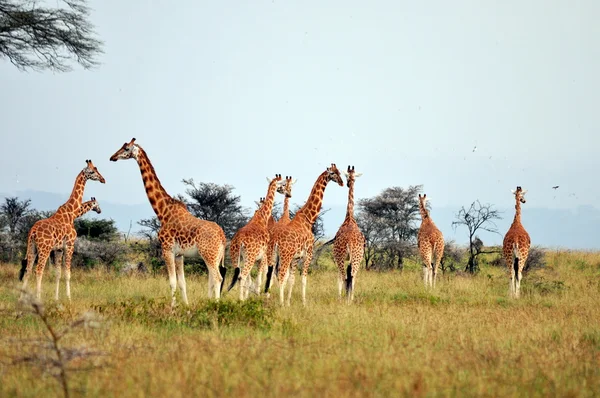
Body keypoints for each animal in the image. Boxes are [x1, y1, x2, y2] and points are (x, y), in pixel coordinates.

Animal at [19, 161, 106, 302]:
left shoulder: (58, 249)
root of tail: (33, 232)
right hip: (44, 249)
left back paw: (21, 299)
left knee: (28, 270)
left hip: (32, 247)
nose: (103, 179)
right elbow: (67, 273)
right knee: (39, 270)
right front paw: (69, 298)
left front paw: (56, 298)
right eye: (92, 171)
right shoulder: (70, 245)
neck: (72, 213)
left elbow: (58, 273)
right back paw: (38, 298)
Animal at [110, 138, 227, 308]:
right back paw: (209, 302)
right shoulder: (179, 254)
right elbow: (182, 283)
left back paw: (216, 306)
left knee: (217, 278)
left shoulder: (167, 249)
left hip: (208, 253)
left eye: (126, 148)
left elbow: (172, 282)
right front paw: (186, 306)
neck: (162, 212)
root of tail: (222, 236)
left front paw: (173, 308)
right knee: (212, 279)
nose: (112, 157)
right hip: (216, 256)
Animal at [266, 163, 344, 306]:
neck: (309, 218)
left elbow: (292, 279)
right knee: (280, 276)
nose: (342, 182)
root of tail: (275, 240)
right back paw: (280, 303)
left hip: (272, 255)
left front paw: (289, 302)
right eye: (333, 173)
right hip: (285, 256)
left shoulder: (296, 257)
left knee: (270, 275)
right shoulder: (309, 253)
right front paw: (303, 303)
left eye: (339, 172)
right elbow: (303, 278)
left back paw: (267, 299)